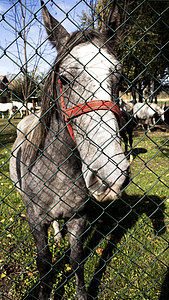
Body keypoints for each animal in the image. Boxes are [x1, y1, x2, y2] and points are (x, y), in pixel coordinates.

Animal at [9, 2, 131, 300]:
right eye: (64, 79)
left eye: (119, 76)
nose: (109, 176)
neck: (59, 170)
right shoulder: (35, 221)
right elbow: (44, 264)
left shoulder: (79, 219)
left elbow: (77, 260)